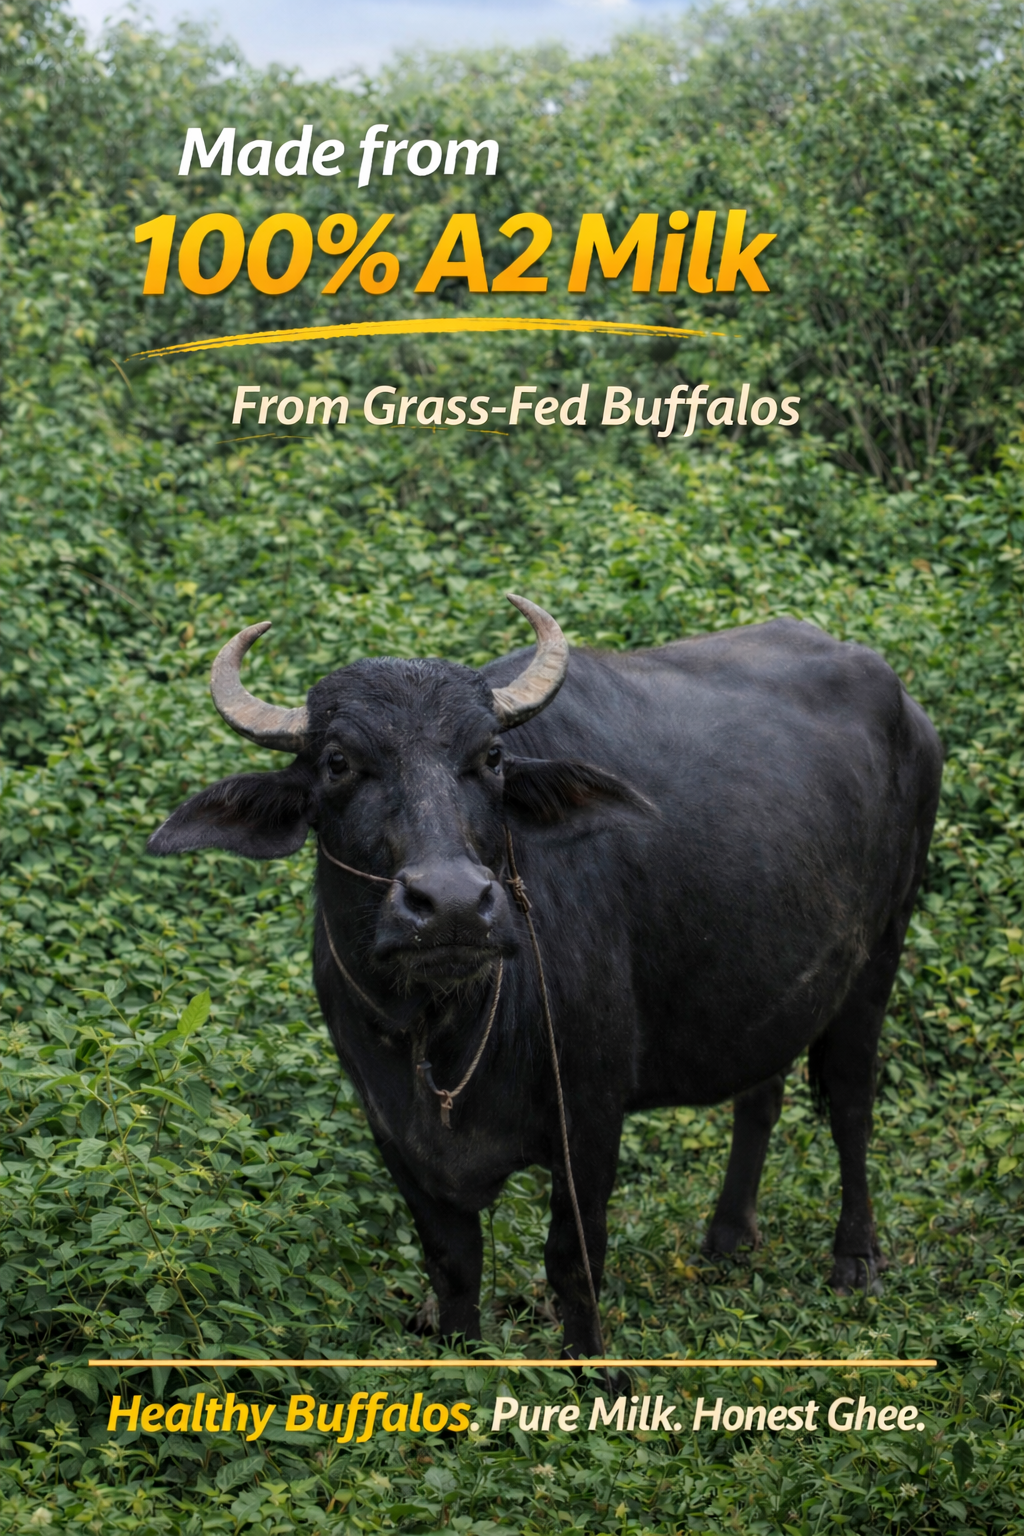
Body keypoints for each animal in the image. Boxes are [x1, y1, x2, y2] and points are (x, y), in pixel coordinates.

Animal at [149, 595, 943, 1357]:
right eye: (338, 763)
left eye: (492, 756)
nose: (451, 904)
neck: (448, 1031)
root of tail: (905, 704)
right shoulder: (390, 1129)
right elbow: (453, 1267)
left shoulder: (588, 1115)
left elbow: (573, 1262)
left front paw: (595, 1371)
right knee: (761, 1091)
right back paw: (726, 1237)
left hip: (884, 945)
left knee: (851, 1101)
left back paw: (855, 1258)